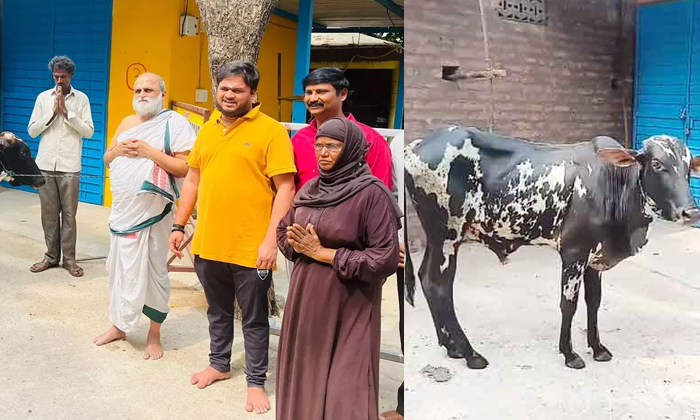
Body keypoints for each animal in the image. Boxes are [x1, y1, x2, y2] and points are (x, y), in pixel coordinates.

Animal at [402, 126, 700, 370]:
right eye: (658, 164)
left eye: (688, 169)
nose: (691, 213)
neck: (610, 183)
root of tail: (414, 145)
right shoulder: (574, 253)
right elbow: (568, 304)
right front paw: (569, 353)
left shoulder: (594, 258)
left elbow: (594, 302)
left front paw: (597, 348)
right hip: (447, 235)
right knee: (439, 285)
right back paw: (469, 353)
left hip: (438, 238)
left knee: (427, 279)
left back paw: (450, 346)